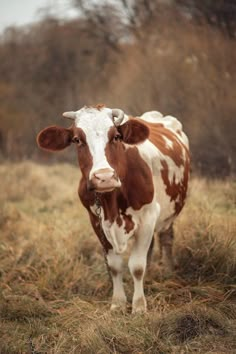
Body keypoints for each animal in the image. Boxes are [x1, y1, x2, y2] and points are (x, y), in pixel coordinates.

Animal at [37, 103, 192, 314]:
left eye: (116, 136)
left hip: (169, 212)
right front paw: (118, 303)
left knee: (166, 238)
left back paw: (167, 271)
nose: (104, 177)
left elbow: (137, 266)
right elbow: (115, 265)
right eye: (77, 140)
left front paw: (139, 306)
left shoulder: (149, 216)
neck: (112, 201)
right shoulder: (97, 221)